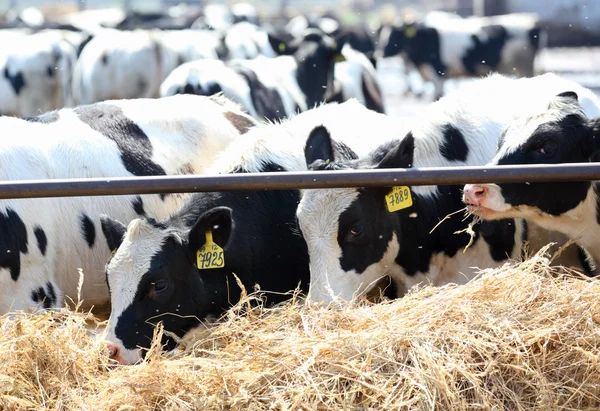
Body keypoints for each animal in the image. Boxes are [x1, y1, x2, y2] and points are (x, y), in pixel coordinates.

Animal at [378, 12, 548, 100]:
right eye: (383, 33)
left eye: (395, 35)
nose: (381, 52)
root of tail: (532, 21)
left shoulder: (439, 72)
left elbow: (436, 97)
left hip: (525, 65)